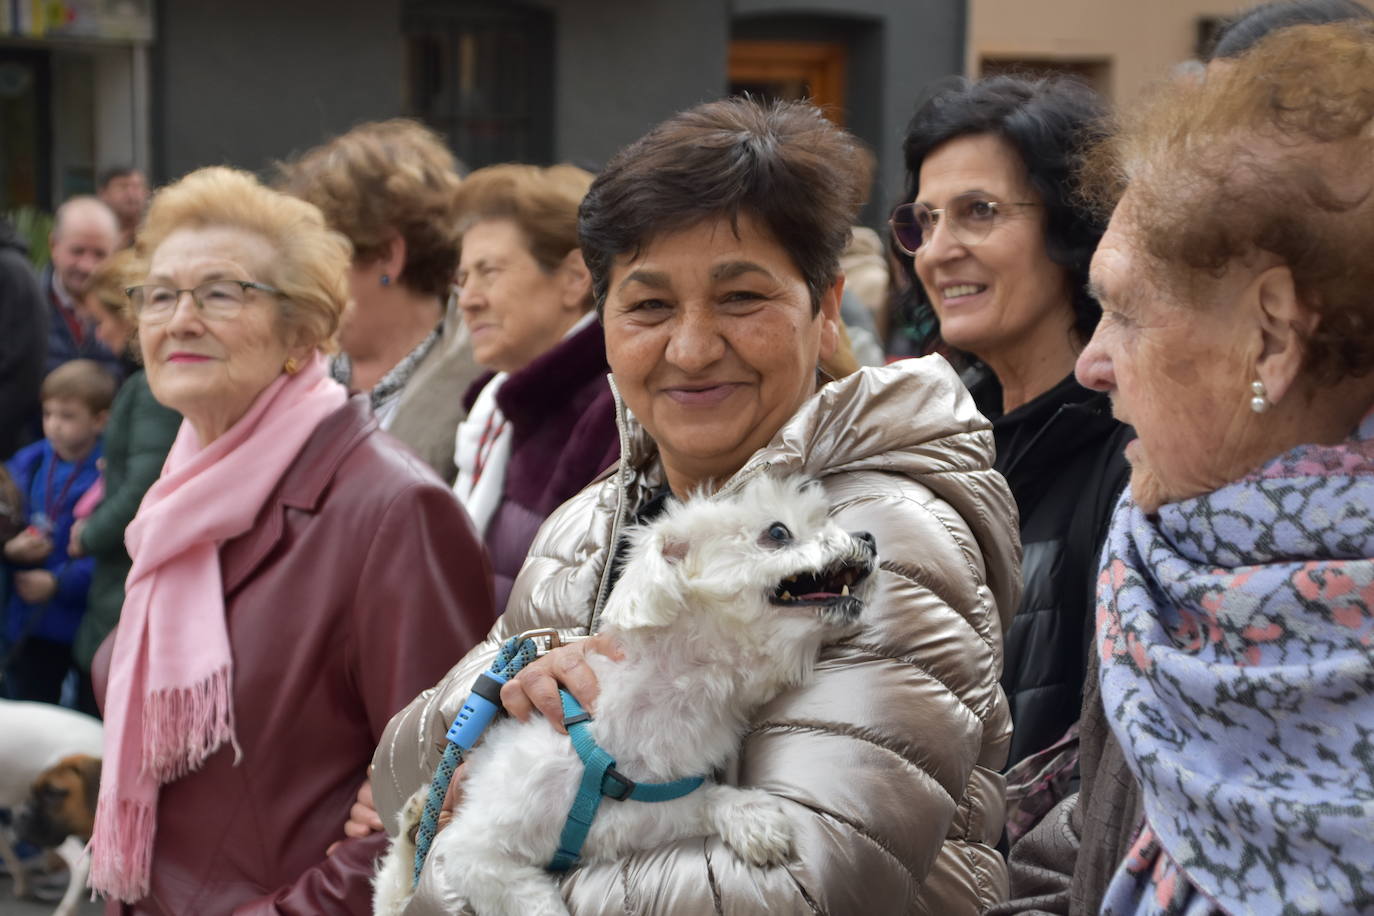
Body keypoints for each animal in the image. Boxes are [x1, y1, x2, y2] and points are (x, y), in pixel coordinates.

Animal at [370, 477, 873, 911]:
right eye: (778, 532)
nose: (869, 536)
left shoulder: (630, 814)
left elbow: (696, 802)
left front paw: (748, 815)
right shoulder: (476, 852)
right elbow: (530, 902)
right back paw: (414, 821)